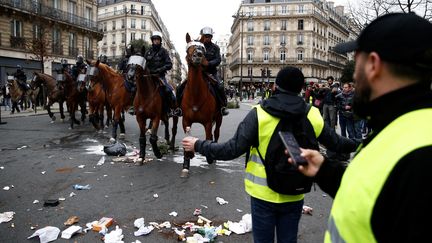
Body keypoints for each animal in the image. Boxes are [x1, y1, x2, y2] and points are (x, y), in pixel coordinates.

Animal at [181, 33, 224, 176]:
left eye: (202, 49)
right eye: (189, 48)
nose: (198, 55)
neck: (195, 95)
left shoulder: (208, 122)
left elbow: (208, 136)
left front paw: (209, 155)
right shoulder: (186, 121)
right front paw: (186, 162)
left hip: (219, 117)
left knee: (216, 133)